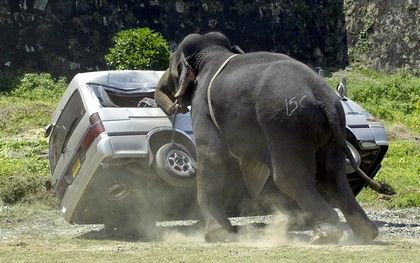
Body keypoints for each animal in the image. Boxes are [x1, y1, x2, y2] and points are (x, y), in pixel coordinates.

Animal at [156, 32, 386, 244]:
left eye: (172, 66)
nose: (174, 106)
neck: (214, 53)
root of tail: (324, 97)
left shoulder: (202, 104)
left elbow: (212, 155)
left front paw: (217, 236)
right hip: (331, 127)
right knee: (333, 174)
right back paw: (367, 234)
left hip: (286, 124)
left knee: (290, 176)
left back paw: (326, 235)